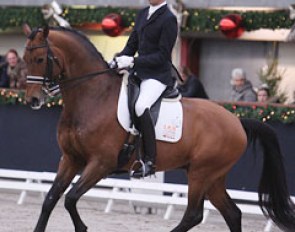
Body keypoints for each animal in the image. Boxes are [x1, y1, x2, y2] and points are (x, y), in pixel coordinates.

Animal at [22, 24, 295, 232]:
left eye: (40, 59)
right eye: (25, 60)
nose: (33, 100)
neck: (93, 97)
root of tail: (237, 121)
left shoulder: (101, 163)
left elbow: (70, 198)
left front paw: (82, 228)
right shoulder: (71, 158)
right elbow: (51, 199)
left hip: (201, 173)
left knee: (194, 214)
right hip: (213, 177)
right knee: (233, 213)